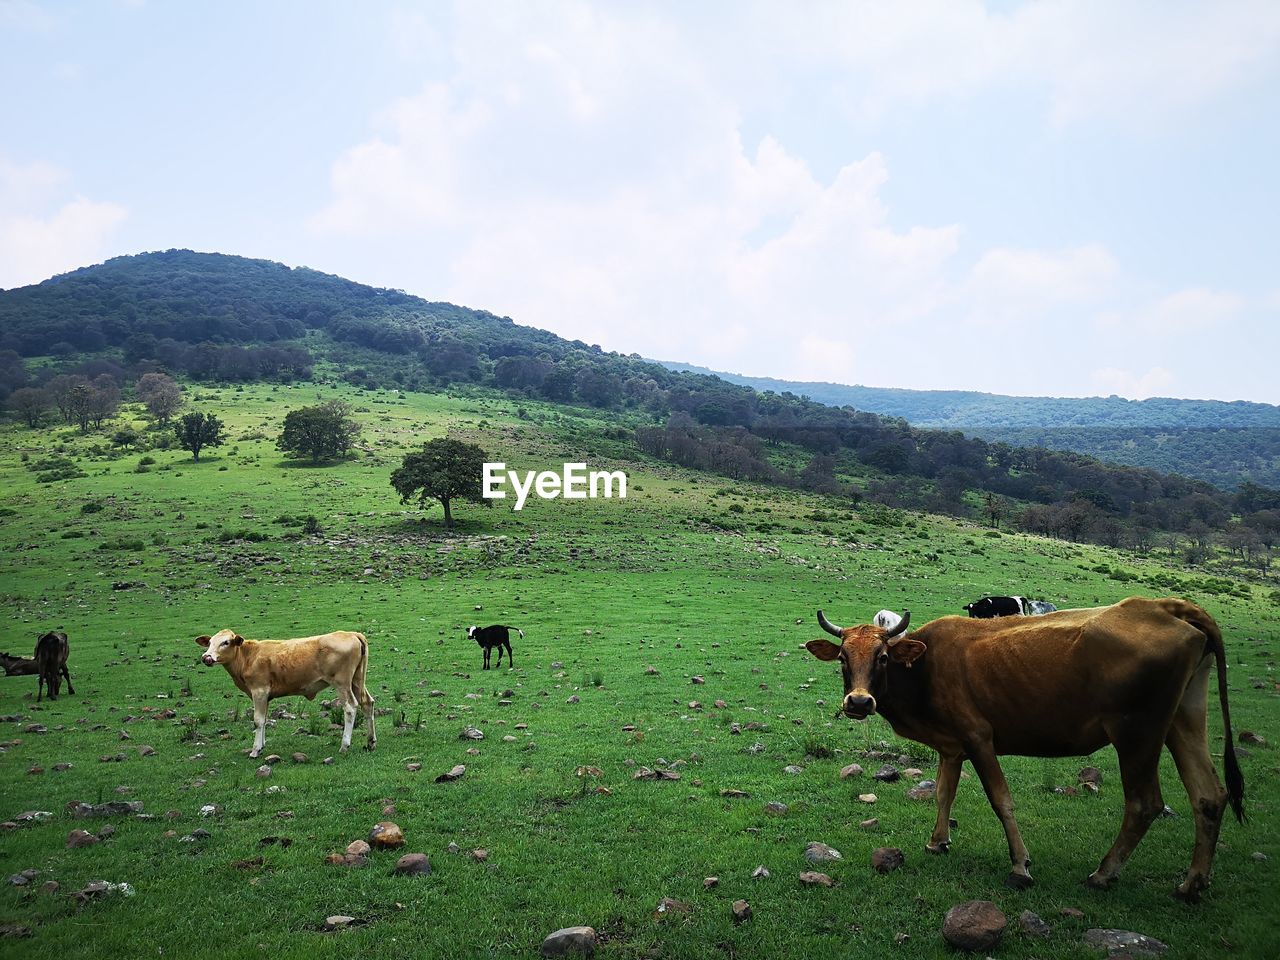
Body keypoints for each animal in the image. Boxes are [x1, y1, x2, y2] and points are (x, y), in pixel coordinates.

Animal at [192, 627, 373, 762]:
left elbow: (258, 720)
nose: (206, 657)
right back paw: (371, 742)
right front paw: (262, 746)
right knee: (367, 703)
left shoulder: (259, 691)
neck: (248, 657)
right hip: (357, 680)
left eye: (226, 642)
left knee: (350, 708)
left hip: (342, 683)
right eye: (209, 642)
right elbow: (264, 719)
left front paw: (255, 750)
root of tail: (352, 634)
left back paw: (344, 745)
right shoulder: (265, 696)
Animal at [808, 599, 1239, 906]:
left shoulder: (979, 737)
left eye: (881, 657)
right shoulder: (951, 746)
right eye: (843, 658)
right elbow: (944, 792)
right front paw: (937, 841)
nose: (858, 702)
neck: (924, 666)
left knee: (1144, 803)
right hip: (1183, 720)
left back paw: (1104, 873)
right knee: (1208, 796)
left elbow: (1001, 800)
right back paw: (1192, 883)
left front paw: (1020, 865)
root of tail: (1164, 606)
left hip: (1137, 733)